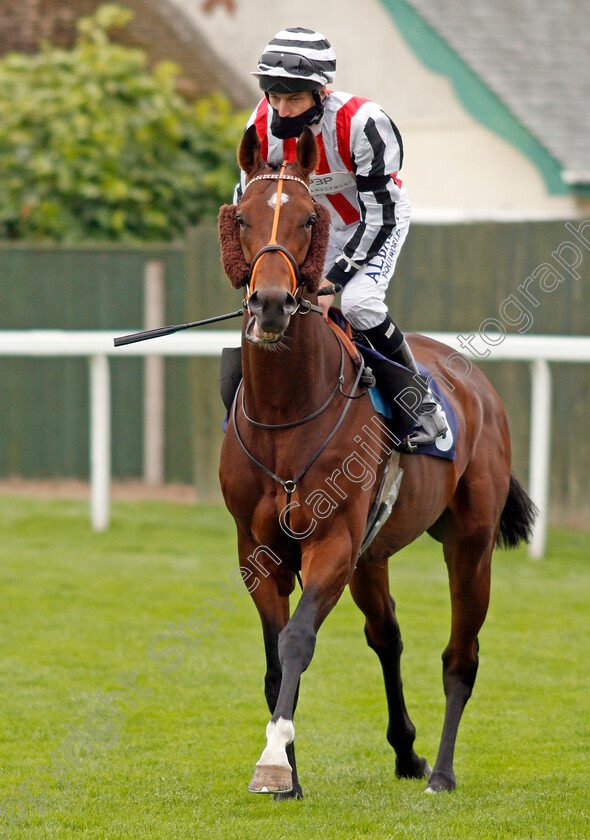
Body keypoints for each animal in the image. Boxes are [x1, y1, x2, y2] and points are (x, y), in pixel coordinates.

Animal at [217, 126, 536, 800]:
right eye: (243, 217)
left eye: (309, 219)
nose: (272, 304)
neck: (288, 410)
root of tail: (476, 383)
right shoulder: (257, 551)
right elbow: (273, 656)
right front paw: (289, 771)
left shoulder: (333, 540)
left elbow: (297, 640)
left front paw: (275, 761)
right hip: (374, 555)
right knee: (386, 635)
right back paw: (407, 751)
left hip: (469, 543)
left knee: (461, 656)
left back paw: (439, 772)